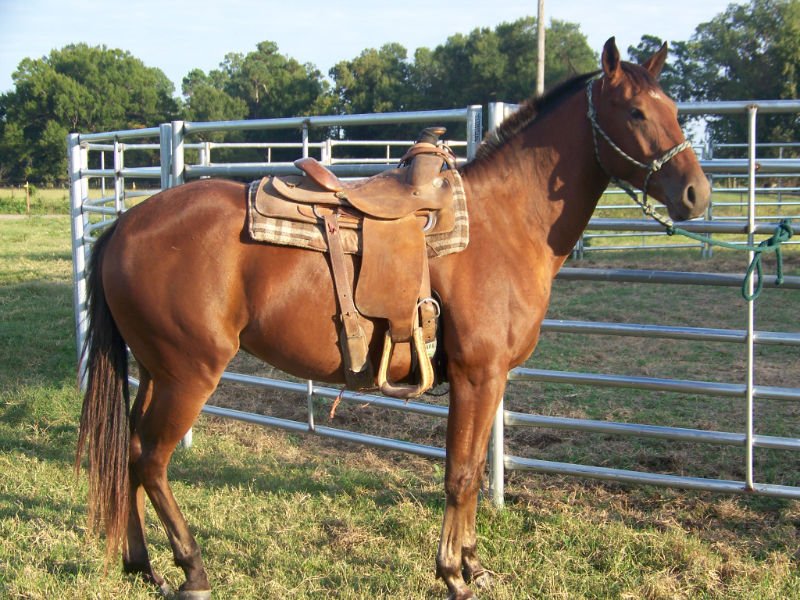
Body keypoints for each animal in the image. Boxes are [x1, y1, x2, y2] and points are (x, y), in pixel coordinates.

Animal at [76, 38, 712, 600]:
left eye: (674, 110)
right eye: (635, 111)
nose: (696, 194)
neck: (503, 223)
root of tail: (124, 226)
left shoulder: (491, 380)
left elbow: (471, 471)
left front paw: (474, 565)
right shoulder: (479, 376)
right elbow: (460, 473)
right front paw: (453, 574)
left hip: (156, 372)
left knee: (128, 453)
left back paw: (143, 566)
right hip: (189, 375)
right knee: (151, 460)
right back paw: (191, 569)